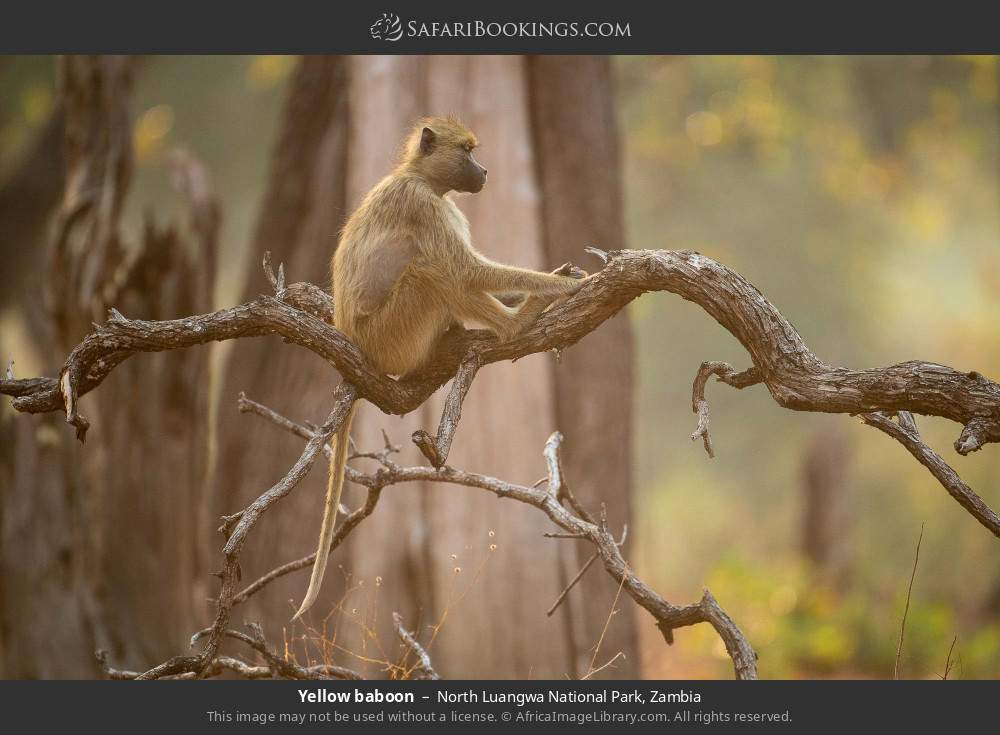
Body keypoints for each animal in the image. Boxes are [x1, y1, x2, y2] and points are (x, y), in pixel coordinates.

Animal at [292, 116, 588, 621]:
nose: (484, 171)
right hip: (392, 339)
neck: (422, 178)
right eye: (467, 151)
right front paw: (560, 286)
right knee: (434, 272)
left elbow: (473, 271)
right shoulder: (424, 207)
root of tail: (354, 342)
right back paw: (514, 324)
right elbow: (467, 270)